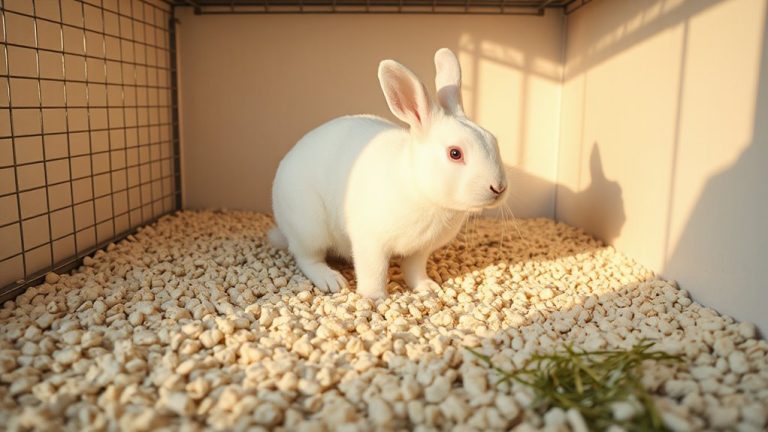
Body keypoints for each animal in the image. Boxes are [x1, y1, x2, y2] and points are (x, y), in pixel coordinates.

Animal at [269, 48, 508, 299]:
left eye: (494, 140)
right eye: (455, 153)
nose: (499, 188)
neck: (420, 190)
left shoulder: (420, 251)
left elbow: (415, 270)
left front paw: (427, 287)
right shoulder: (370, 243)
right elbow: (373, 272)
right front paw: (374, 297)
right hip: (309, 228)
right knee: (307, 258)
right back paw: (332, 281)